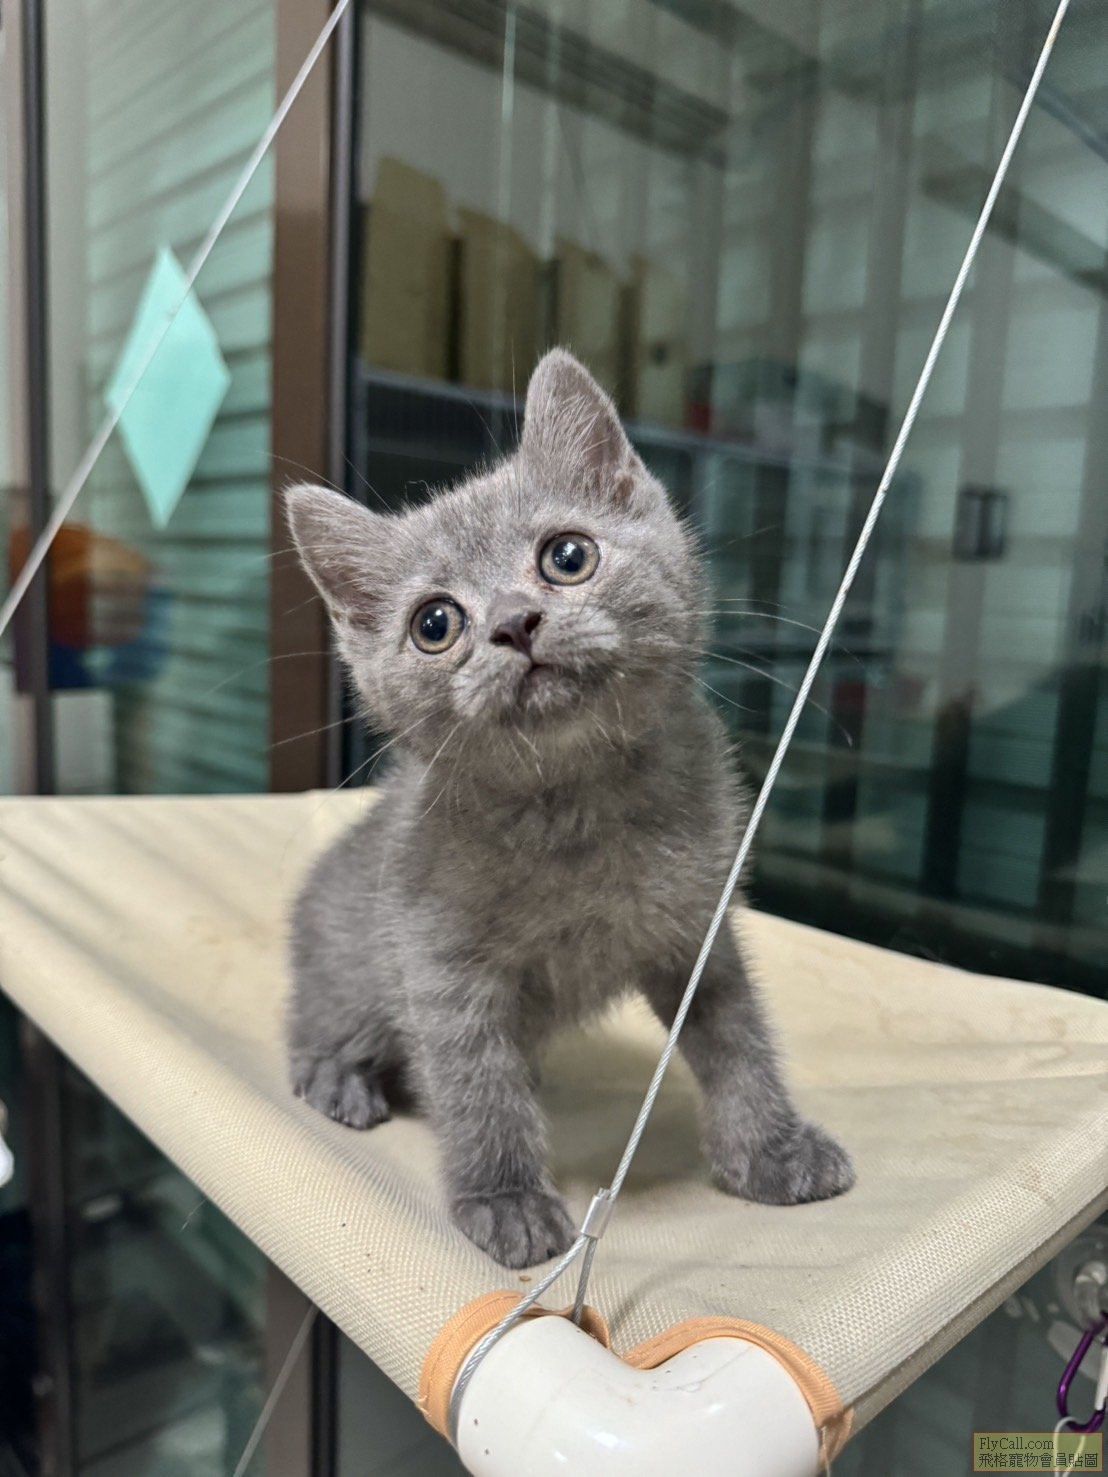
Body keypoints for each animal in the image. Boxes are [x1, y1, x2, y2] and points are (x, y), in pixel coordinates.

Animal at [285, 348, 854, 1269]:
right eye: (435, 623)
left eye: (567, 555)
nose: (517, 624)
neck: (577, 803)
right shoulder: (438, 956)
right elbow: (475, 1079)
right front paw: (505, 1198)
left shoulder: (700, 925)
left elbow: (738, 1038)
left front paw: (771, 1149)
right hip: (348, 964)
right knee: (323, 1021)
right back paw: (338, 1073)